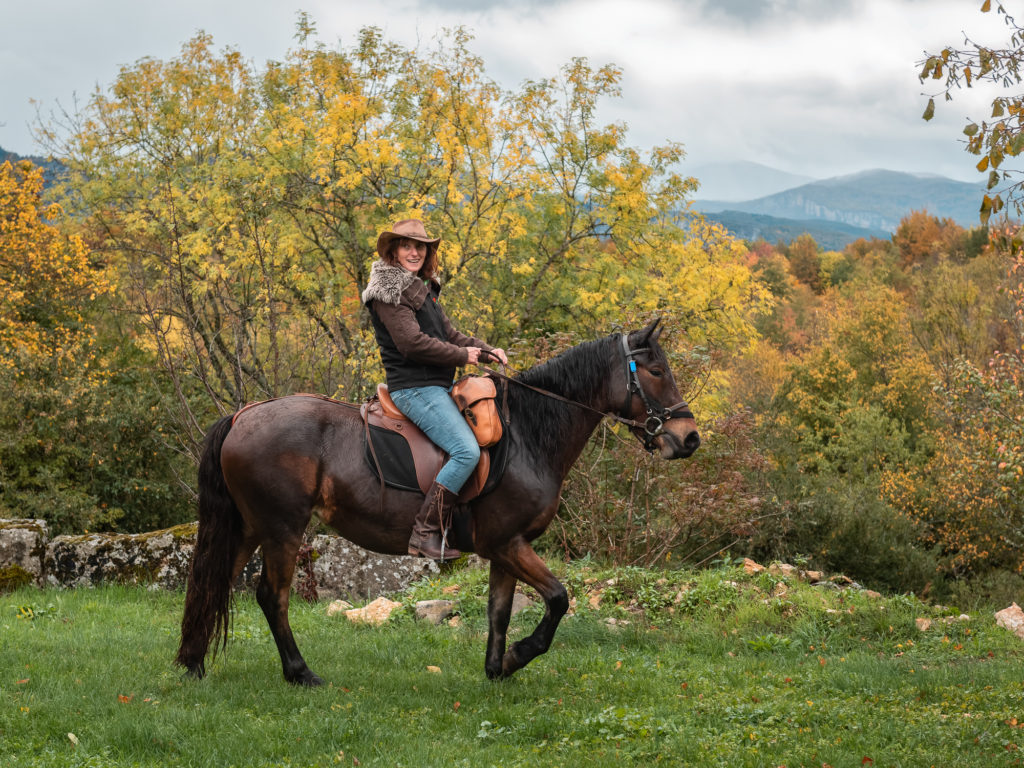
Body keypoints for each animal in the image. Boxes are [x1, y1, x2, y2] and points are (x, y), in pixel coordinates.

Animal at [178, 319, 704, 684]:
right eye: (656, 371)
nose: (689, 438)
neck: (528, 434)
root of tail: (243, 416)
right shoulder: (509, 544)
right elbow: (558, 599)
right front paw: (518, 656)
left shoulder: (504, 549)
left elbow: (498, 611)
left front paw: (497, 667)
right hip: (282, 529)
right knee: (273, 596)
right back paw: (299, 672)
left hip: (249, 528)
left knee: (214, 584)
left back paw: (193, 664)